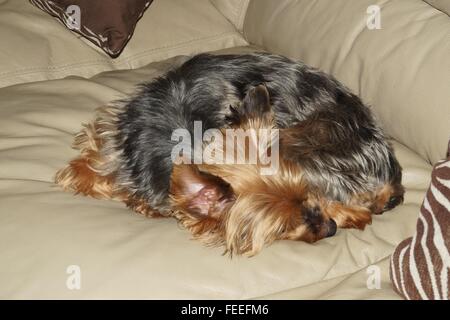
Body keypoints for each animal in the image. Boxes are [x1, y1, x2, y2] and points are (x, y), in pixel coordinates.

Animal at [55, 53, 404, 258]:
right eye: (284, 226)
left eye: (308, 196)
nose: (330, 228)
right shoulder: (114, 140)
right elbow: (83, 171)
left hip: (297, 142)